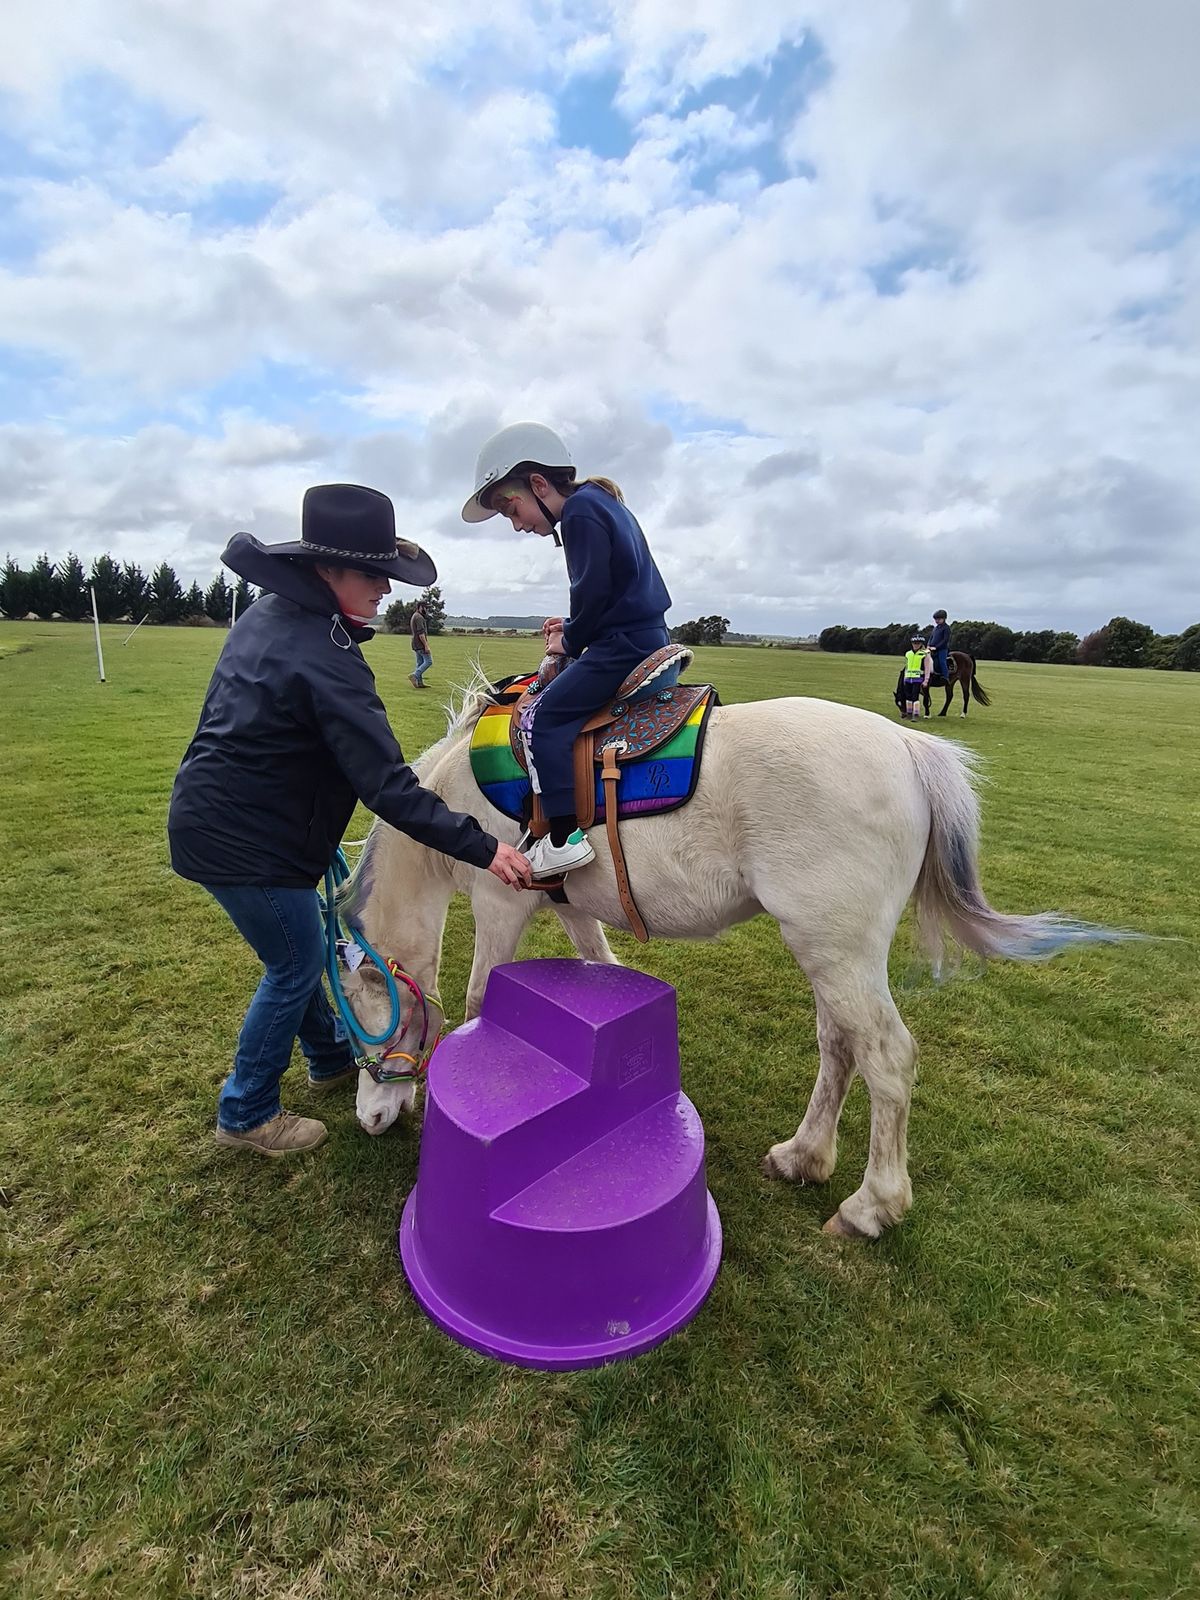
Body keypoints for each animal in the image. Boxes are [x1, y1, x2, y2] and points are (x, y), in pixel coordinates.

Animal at [342, 668, 1126, 1241]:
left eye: (360, 1020)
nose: (370, 1119)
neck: (457, 793)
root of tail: (908, 748)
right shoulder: (570, 909)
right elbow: (601, 966)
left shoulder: (499, 902)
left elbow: (479, 1000)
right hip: (827, 950)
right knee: (839, 1045)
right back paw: (804, 1157)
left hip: (836, 950)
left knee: (886, 1056)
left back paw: (870, 1206)